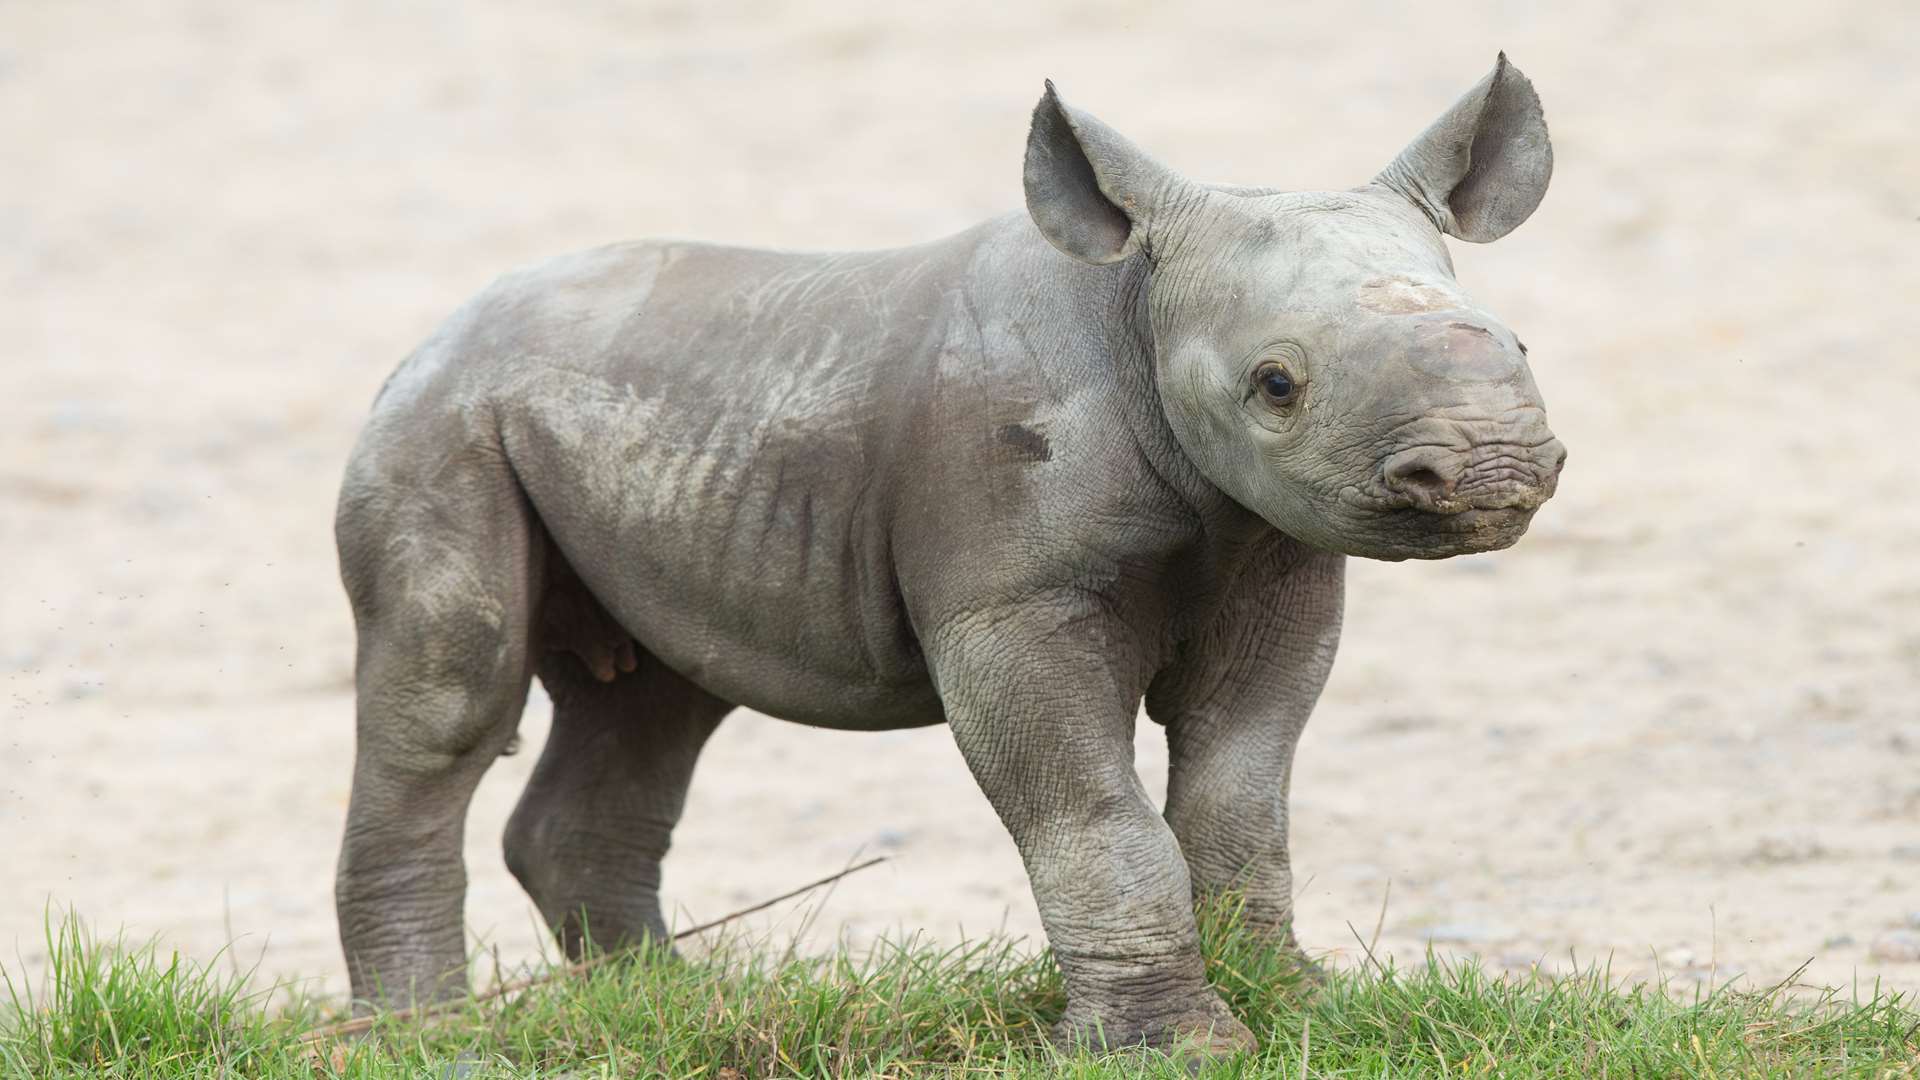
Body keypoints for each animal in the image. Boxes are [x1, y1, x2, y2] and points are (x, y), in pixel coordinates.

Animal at [334, 54, 1559, 1053]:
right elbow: (1088, 815)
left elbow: (1241, 788)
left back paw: (672, 1009)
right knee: (452, 696)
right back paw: (432, 1039)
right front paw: (1177, 1047)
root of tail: (430, 337)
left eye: (1518, 343)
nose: (1489, 469)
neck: (1136, 305)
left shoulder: (1274, 559)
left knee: (654, 702)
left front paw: (1296, 1007)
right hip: (440, 422)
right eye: (1276, 384)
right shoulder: (1010, 608)